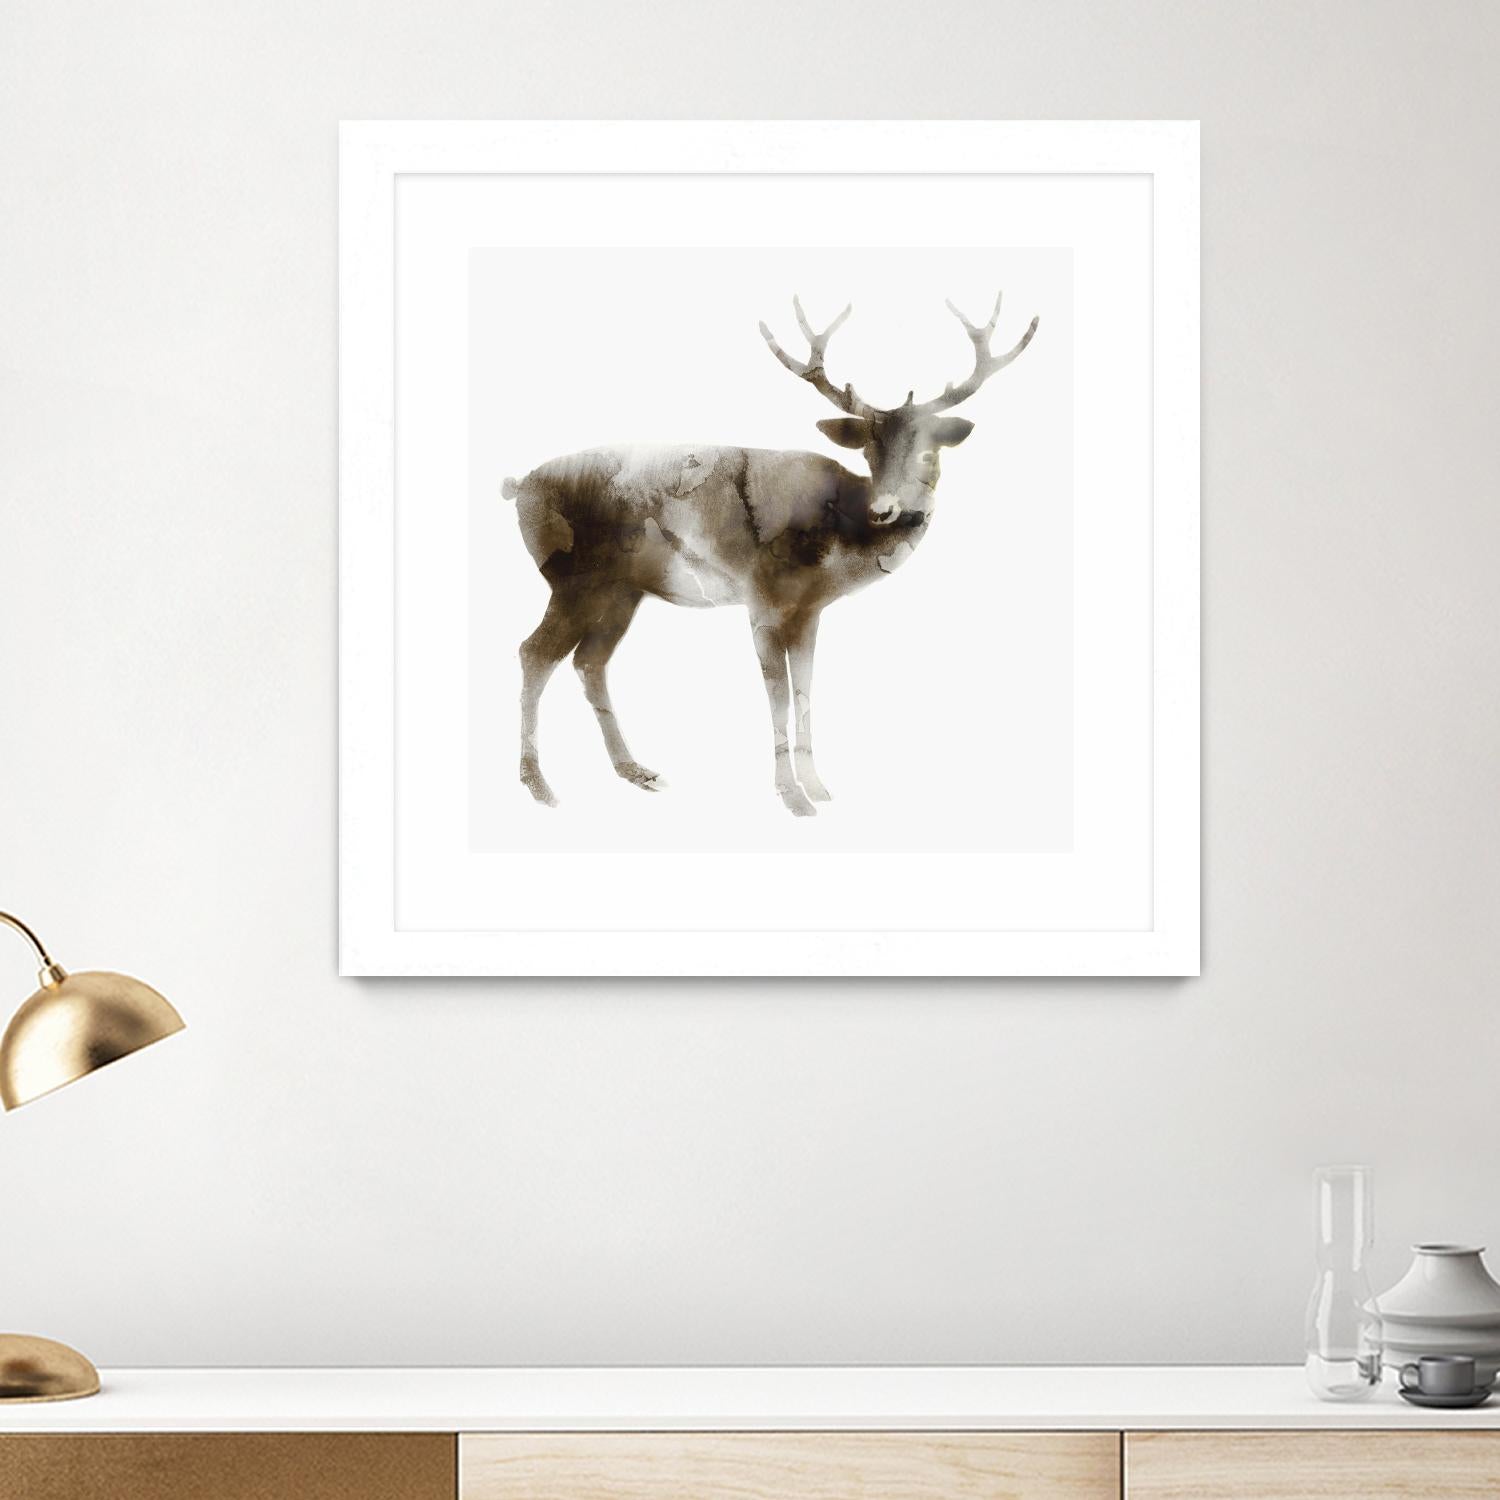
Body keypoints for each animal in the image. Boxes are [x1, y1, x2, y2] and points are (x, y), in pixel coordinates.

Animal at [502, 292, 1039, 817]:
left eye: (929, 451)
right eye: (868, 450)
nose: (886, 509)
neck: (837, 545)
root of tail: (519, 486)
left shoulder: (809, 612)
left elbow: (804, 690)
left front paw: (818, 786)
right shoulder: (761, 600)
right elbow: (777, 696)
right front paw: (792, 797)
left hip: (620, 592)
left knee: (589, 662)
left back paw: (634, 770)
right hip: (573, 580)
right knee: (534, 653)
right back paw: (539, 785)